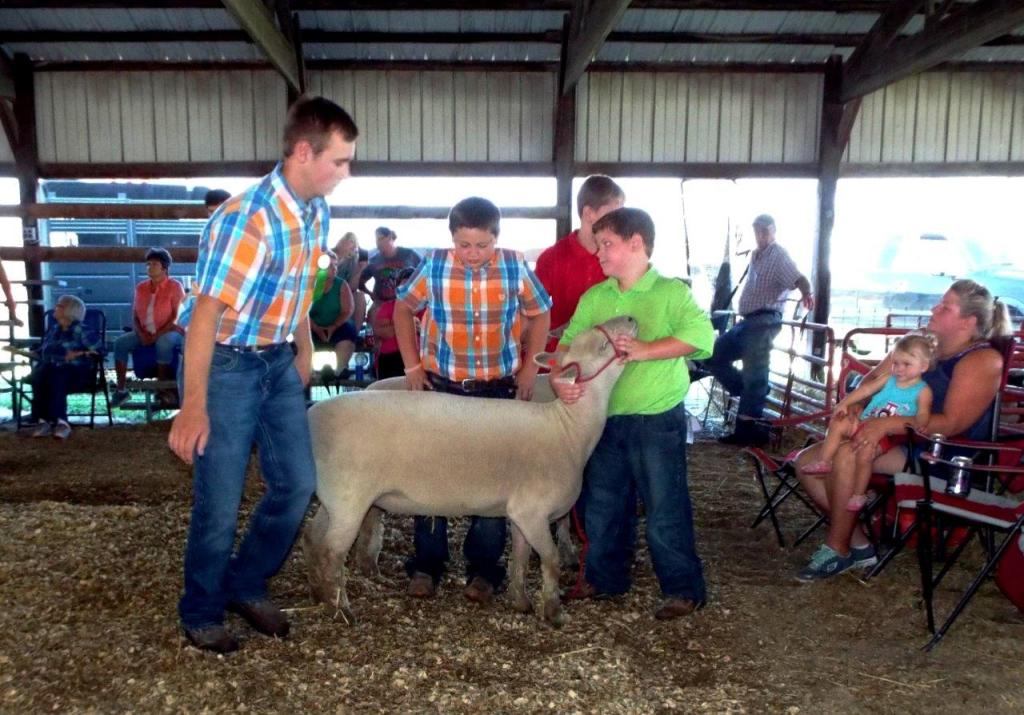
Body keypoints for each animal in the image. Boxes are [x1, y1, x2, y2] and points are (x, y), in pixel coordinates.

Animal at [304, 315, 637, 627]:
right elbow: (551, 560)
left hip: (335, 497)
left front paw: (520, 601)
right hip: (350, 497)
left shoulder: (521, 514)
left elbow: (520, 556)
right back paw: (342, 610)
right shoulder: (533, 511)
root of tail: (311, 418)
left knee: (314, 537)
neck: (567, 428)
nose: (632, 319)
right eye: (603, 346)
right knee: (332, 551)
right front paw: (554, 611)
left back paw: (319, 593)